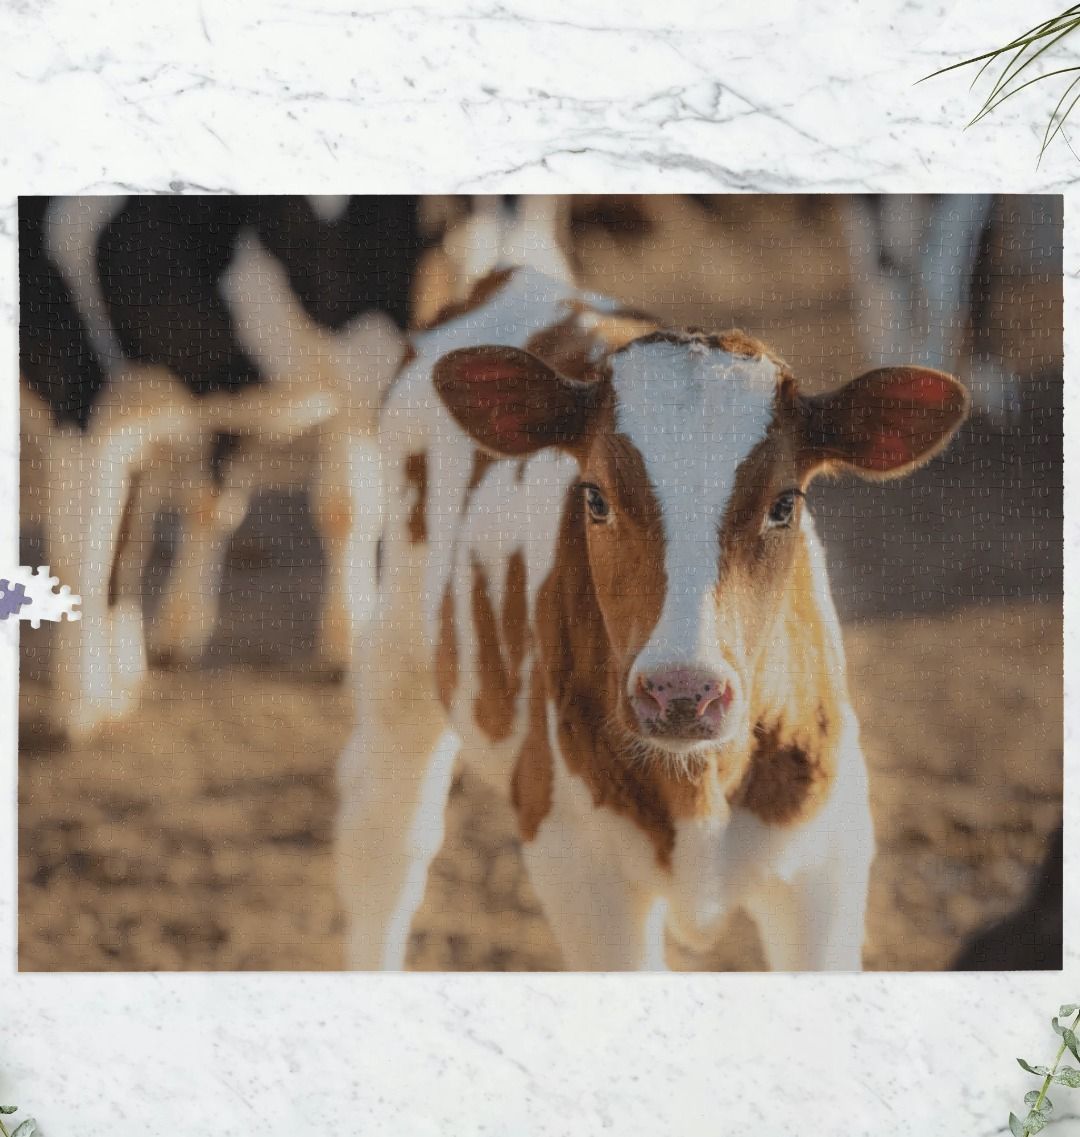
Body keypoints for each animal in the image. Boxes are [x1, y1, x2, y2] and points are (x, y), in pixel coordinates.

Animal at [335, 266, 969, 971]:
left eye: (784, 503)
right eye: (595, 497)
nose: (683, 693)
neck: (702, 787)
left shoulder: (827, 859)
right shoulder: (579, 868)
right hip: (399, 646)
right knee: (386, 838)